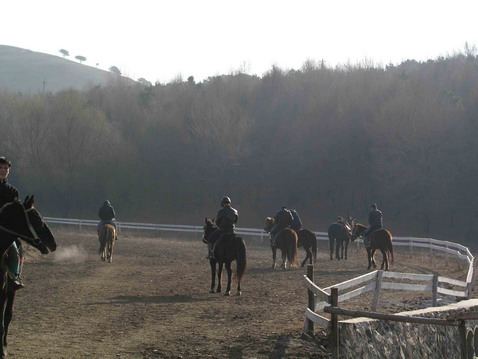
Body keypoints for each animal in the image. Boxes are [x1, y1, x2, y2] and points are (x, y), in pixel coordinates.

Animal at [0, 195, 56, 358]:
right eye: (36, 217)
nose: (54, 243)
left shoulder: (2, 291)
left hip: (11, 291)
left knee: (8, 316)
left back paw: (4, 346)